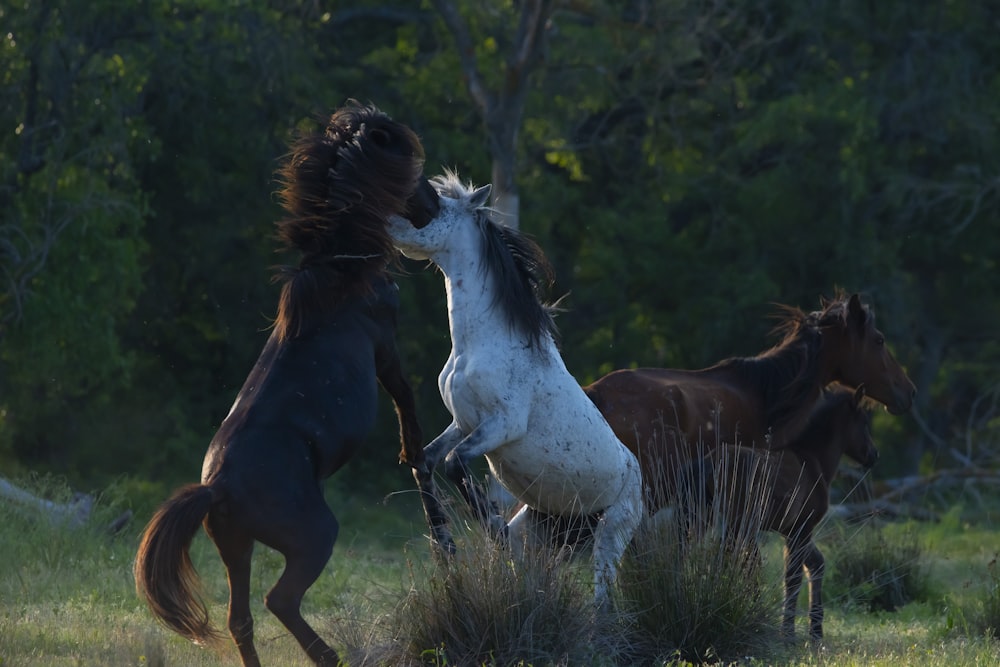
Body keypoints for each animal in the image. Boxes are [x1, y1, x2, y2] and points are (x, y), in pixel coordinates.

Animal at [132, 102, 438, 664]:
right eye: (408, 166)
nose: (432, 205)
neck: (339, 268)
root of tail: (216, 488)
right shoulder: (385, 346)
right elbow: (405, 398)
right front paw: (413, 454)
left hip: (236, 548)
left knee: (241, 619)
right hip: (313, 538)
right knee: (279, 600)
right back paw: (330, 654)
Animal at [390, 171, 640, 604]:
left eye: (430, 207)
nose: (384, 221)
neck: (482, 343)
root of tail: (638, 473)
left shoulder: (502, 425)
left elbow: (456, 463)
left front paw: (495, 533)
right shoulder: (462, 422)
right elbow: (425, 463)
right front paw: (444, 547)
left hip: (612, 533)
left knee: (603, 601)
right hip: (548, 527)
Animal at [684, 386, 880, 640]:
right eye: (864, 422)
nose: (873, 456)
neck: (813, 461)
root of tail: (709, 462)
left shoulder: (790, 529)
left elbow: (816, 564)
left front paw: (815, 630)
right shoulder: (803, 527)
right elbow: (793, 576)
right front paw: (788, 632)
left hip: (703, 517)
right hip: (737, 523)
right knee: (730, 559)